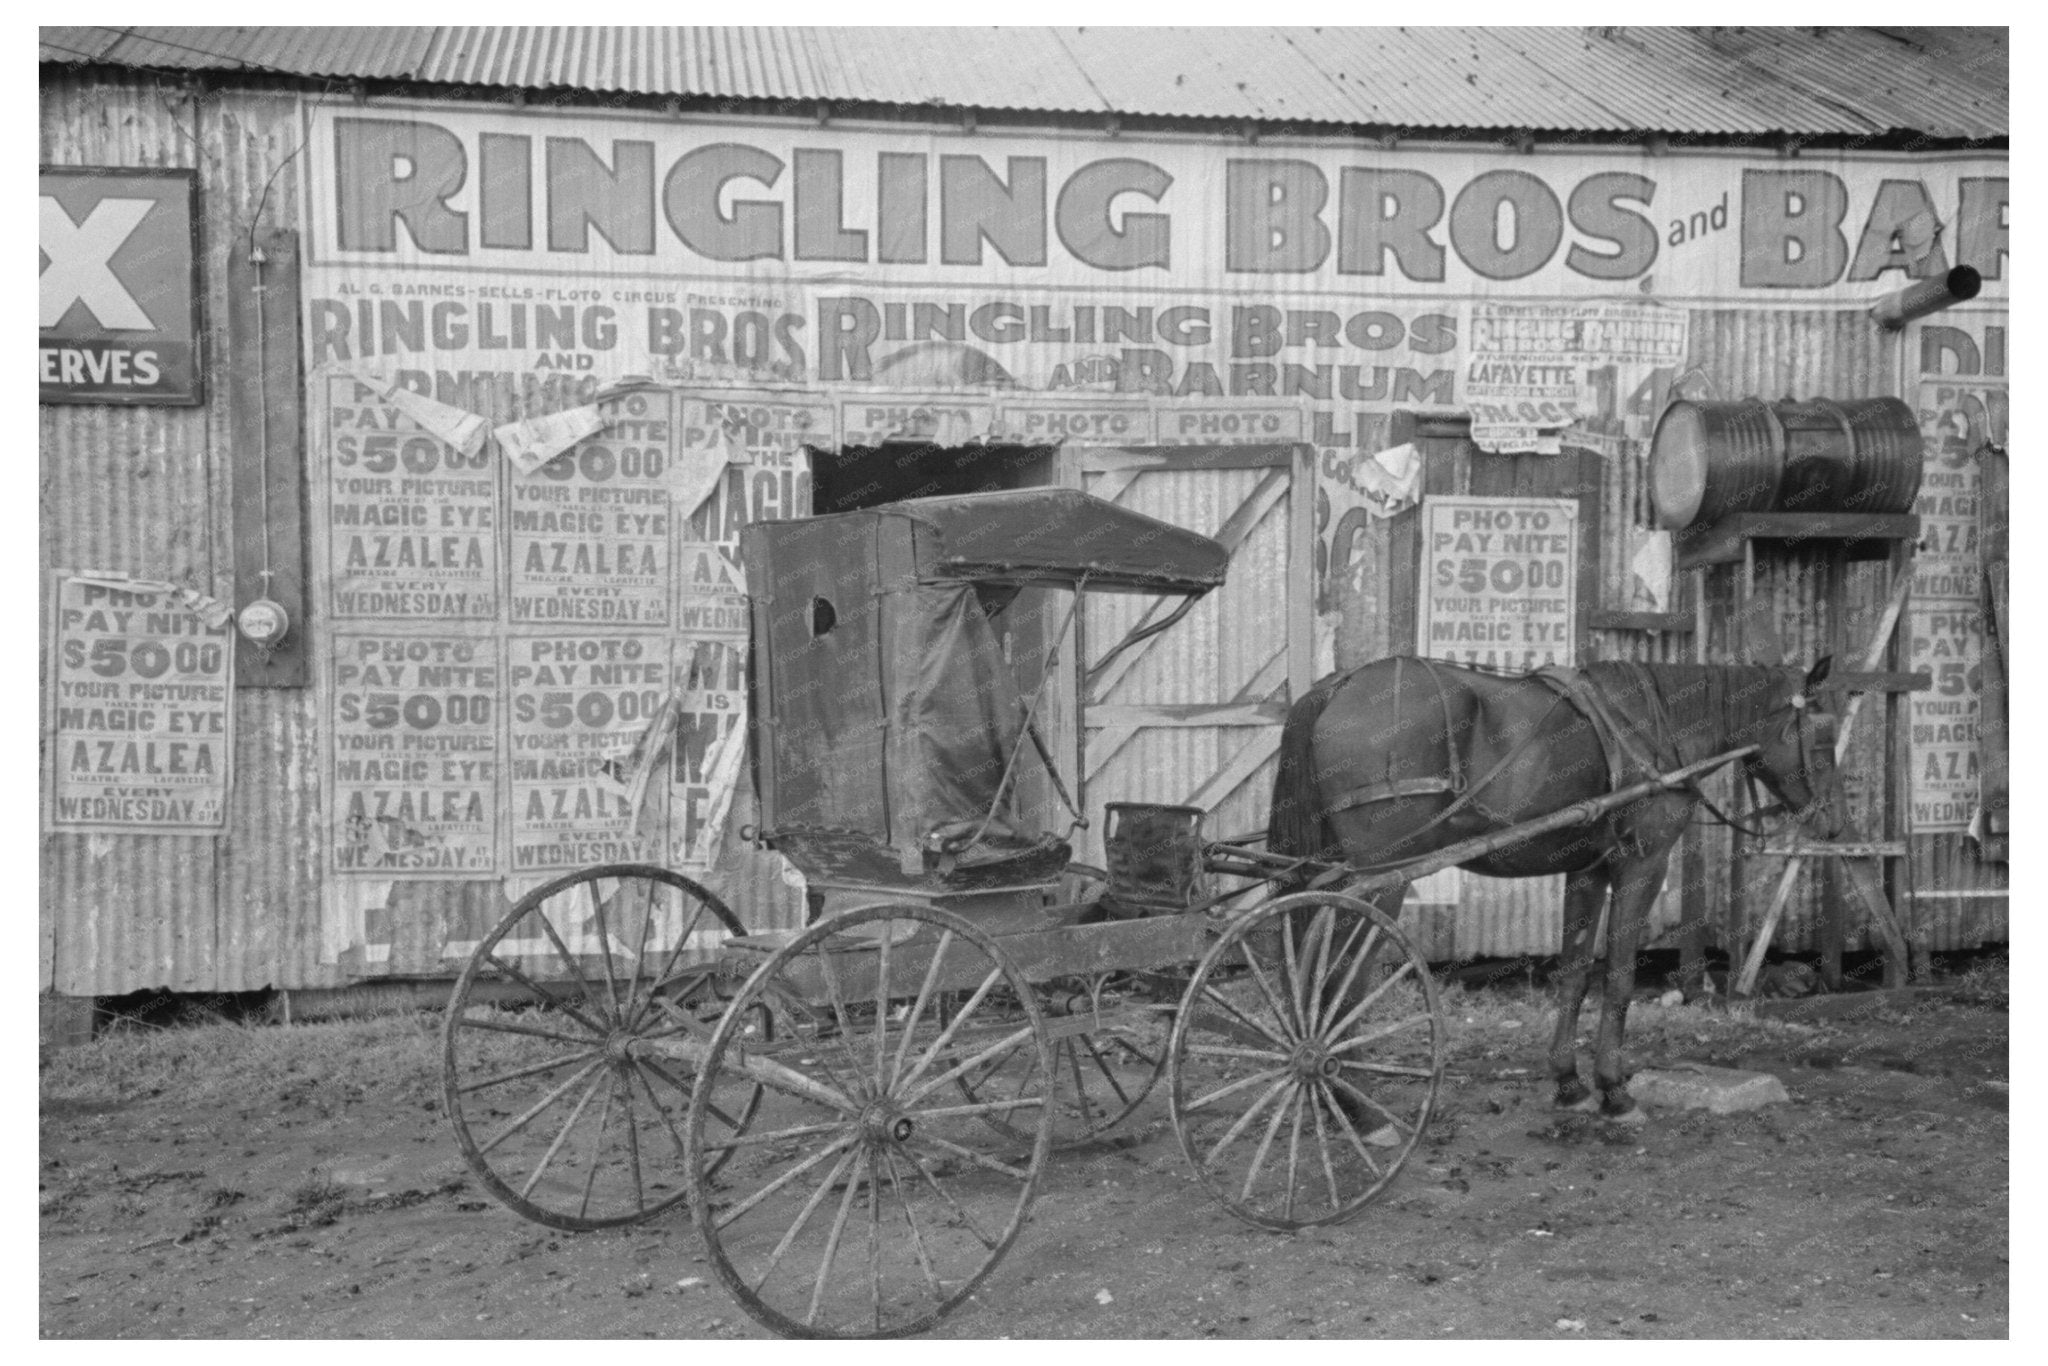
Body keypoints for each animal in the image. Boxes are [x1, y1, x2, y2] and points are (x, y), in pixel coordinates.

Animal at [1269, 659, 1851, 1122]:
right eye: (1823, 738)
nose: (1833, 823)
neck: (1653, 726)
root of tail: (1341, 684)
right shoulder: (1642, 865)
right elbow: (1619, 979)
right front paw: (1615, 1090)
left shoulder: (1587, 870)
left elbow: (1574, 974)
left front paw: (1570, 1082)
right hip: (1378, 883)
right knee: (1341, 983)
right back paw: (1352, 1102)